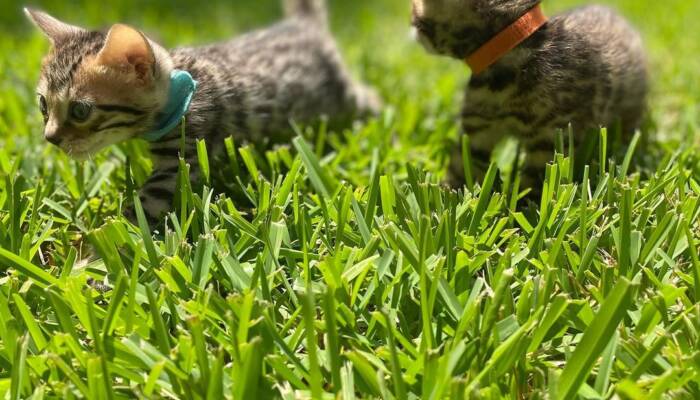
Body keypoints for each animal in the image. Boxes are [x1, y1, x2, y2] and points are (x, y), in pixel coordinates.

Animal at [412, 0, 648, 191]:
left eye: (417, 16)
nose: (411, 25)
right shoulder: (477, 129)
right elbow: (462, 163)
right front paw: (448, 194)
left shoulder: (551, 139)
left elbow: (535, 183)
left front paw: (518, 212)